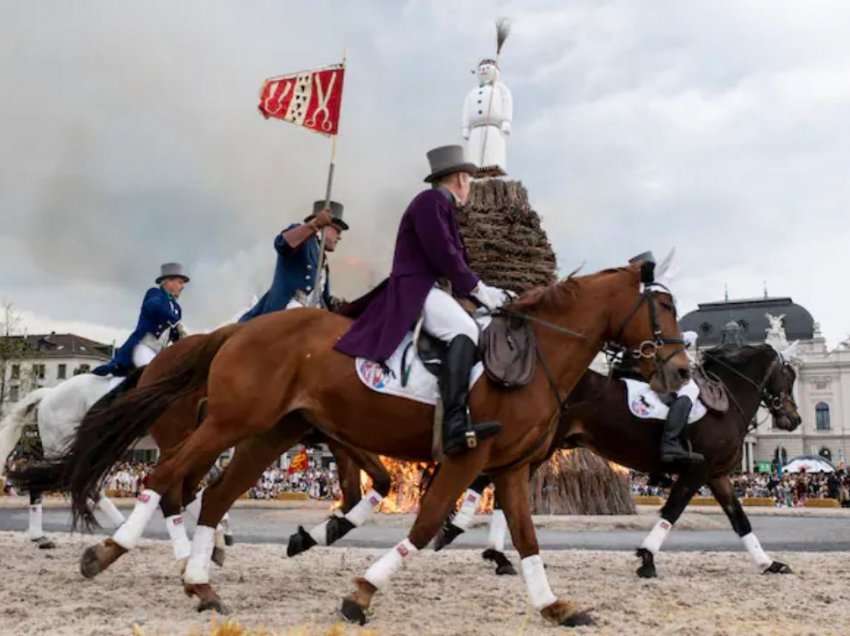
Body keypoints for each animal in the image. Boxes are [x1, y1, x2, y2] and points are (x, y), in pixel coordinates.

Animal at [28, 258, 688, 628]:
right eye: (662, 307)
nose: (681, 370)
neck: (537, 357)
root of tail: (238, 331)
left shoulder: (510, 468)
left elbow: (526, 540)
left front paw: (554, 606)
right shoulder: (465, 456)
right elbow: (423, 525)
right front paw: (362, 592)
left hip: (265, 435)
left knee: (210, 497)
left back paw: (200, 582)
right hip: (227, 426)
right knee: (164, 482)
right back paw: (111, 553)